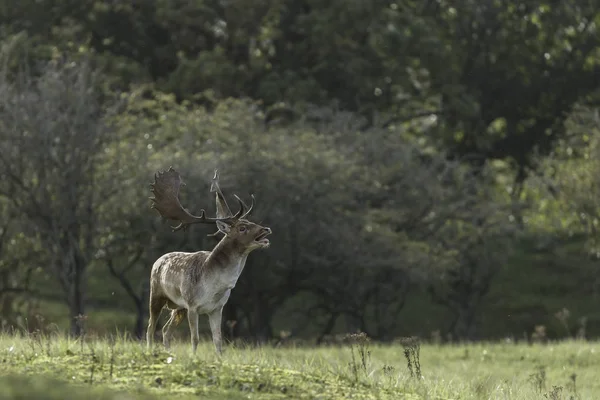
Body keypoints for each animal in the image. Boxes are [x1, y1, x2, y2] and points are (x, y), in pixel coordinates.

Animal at [146, 167, 272, 354]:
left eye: (250, 221)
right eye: (242, 228)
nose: (266, 229)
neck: (214, 288)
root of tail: (157, 261)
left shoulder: (217, 309)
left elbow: (218, 340)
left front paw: (220, 359)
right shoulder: (192, 305)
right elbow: (195, 338)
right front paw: (194, 357)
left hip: (178, 307)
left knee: (166, 330)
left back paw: (169, 354)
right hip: (156, 295)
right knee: (150, 327)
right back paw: (149, 351)